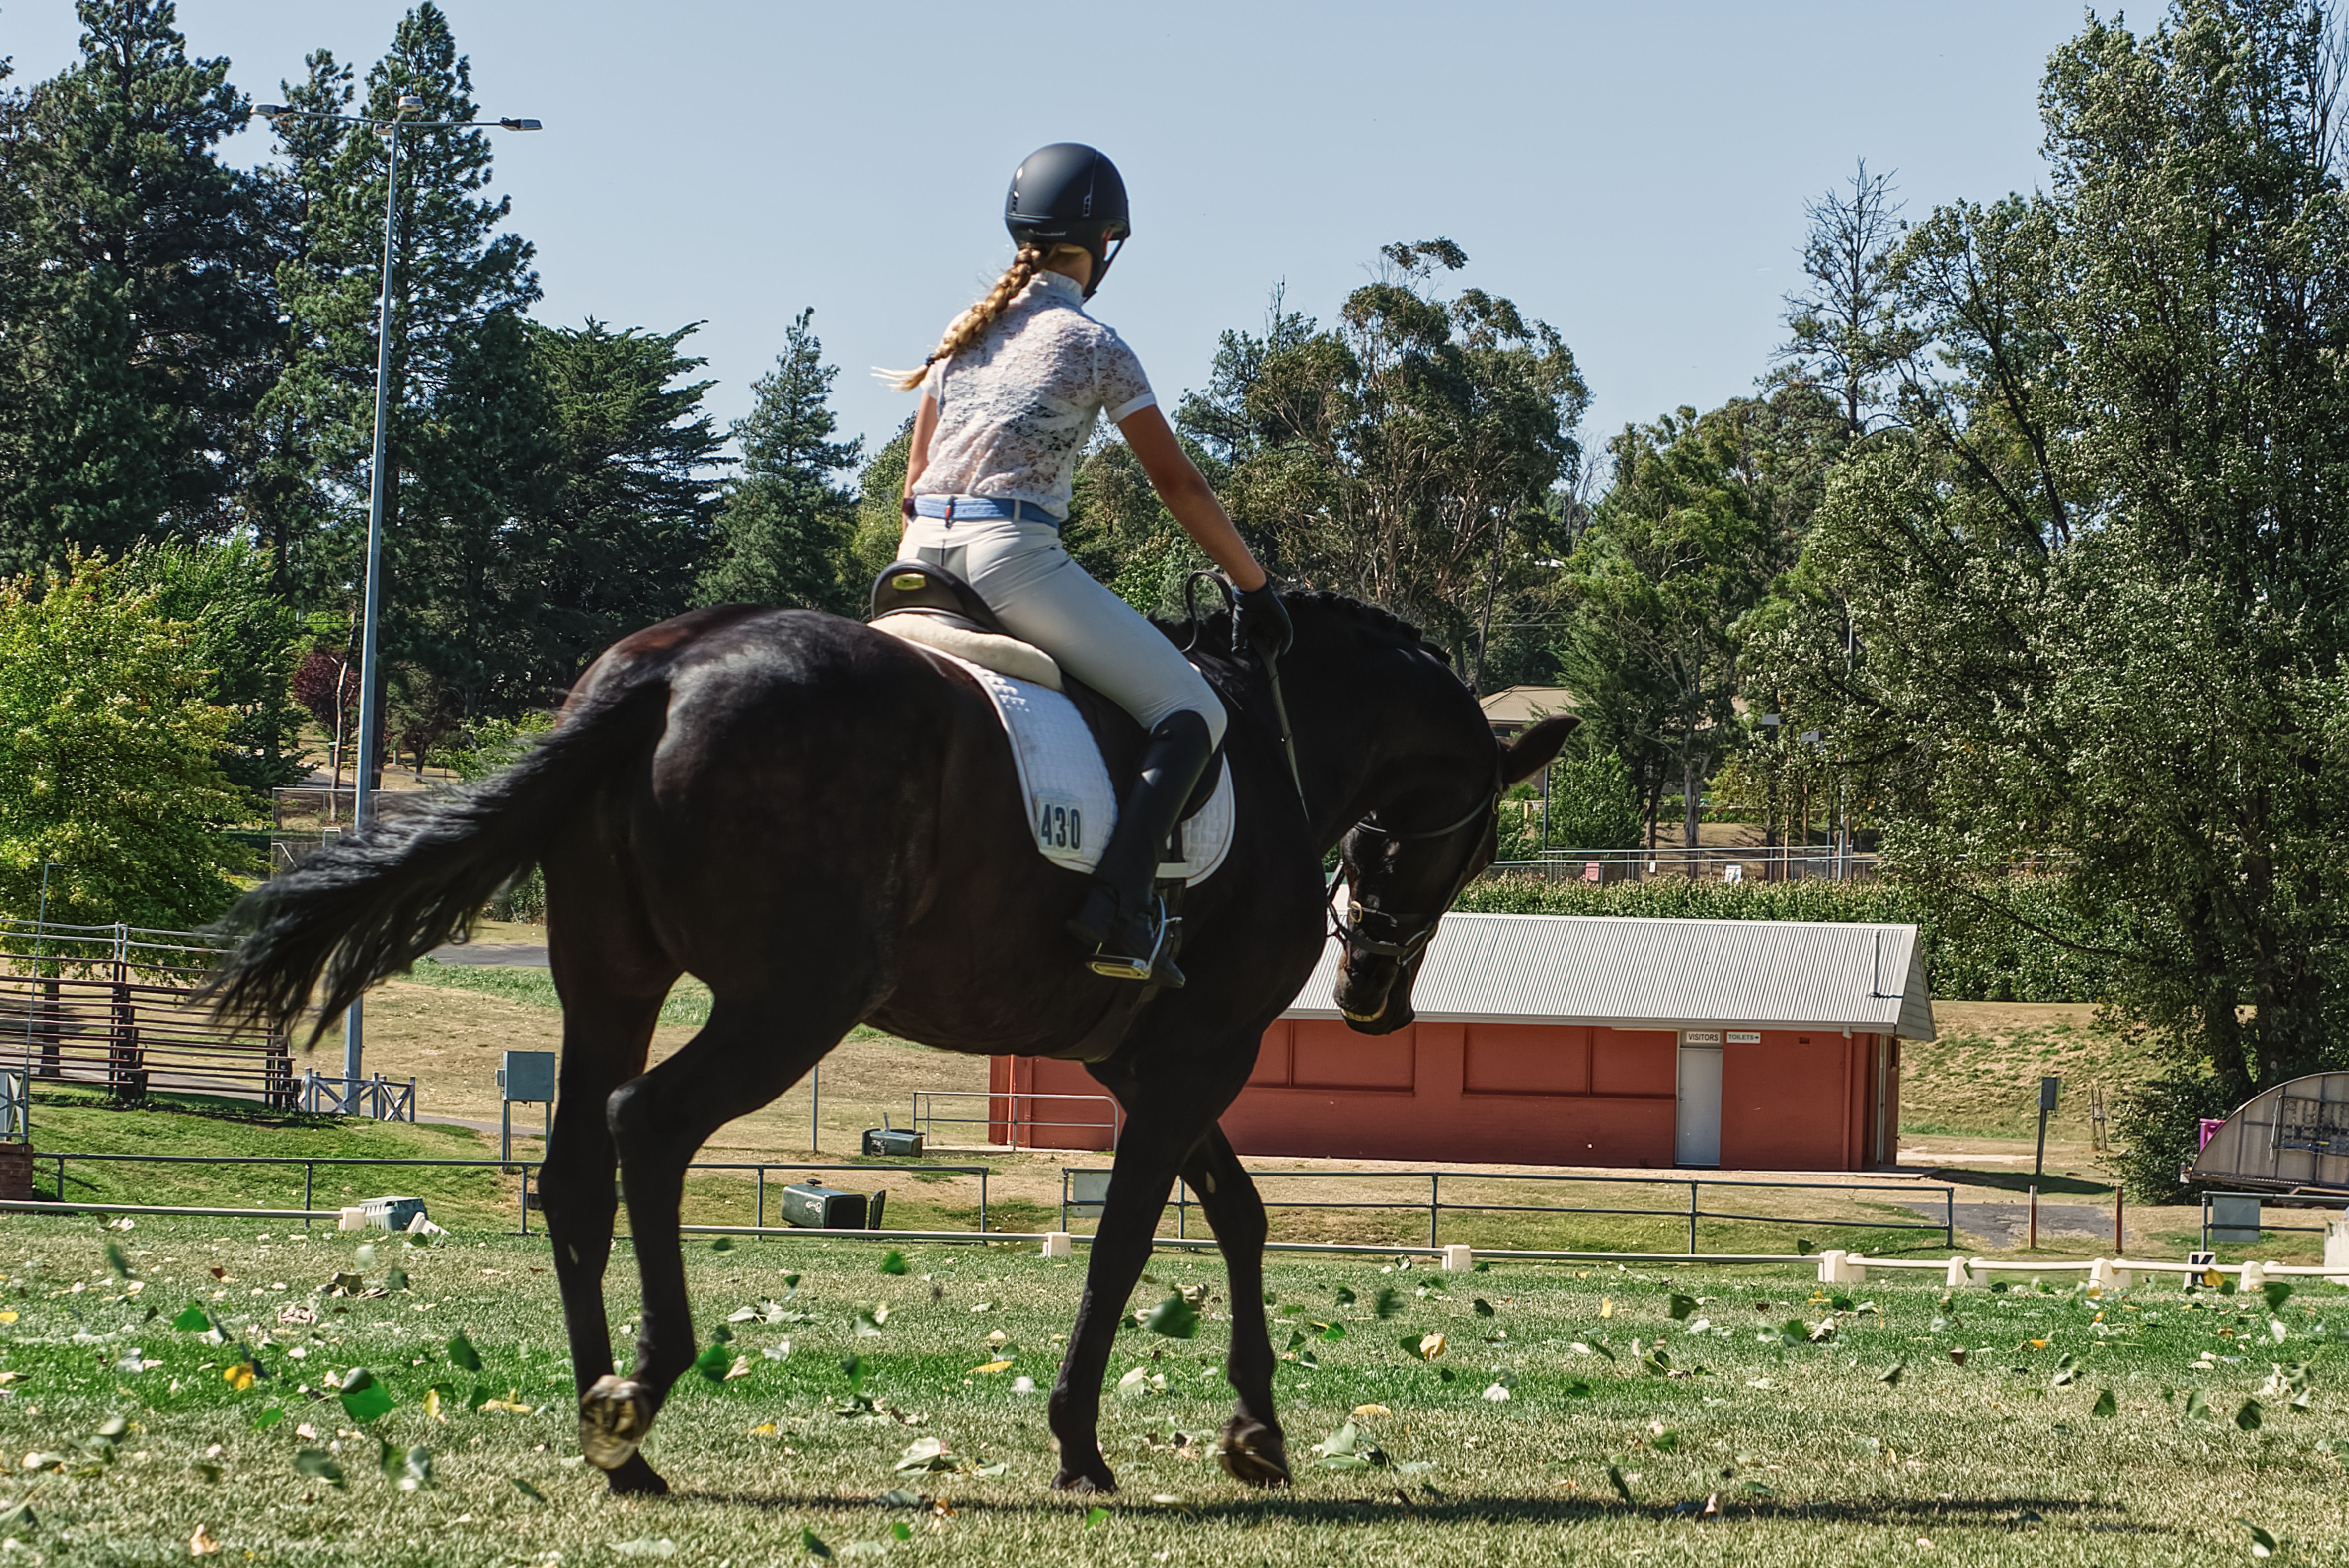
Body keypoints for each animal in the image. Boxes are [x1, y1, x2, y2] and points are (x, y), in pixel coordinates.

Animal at [202, 590, 1574, 1497]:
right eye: (1479, 844)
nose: (1373, 999)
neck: (1281, 742)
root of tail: (668, 671)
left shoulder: (1148, 1058)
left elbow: (1237, 1214)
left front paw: (1257, 1431)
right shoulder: (1202, 1050)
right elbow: (1132, 1239)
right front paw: (1082, 1441)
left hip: (613, 978)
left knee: (578, 1167)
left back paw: (618, 1440)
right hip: (795, 997)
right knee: (650, 1125)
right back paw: (649, 1380)